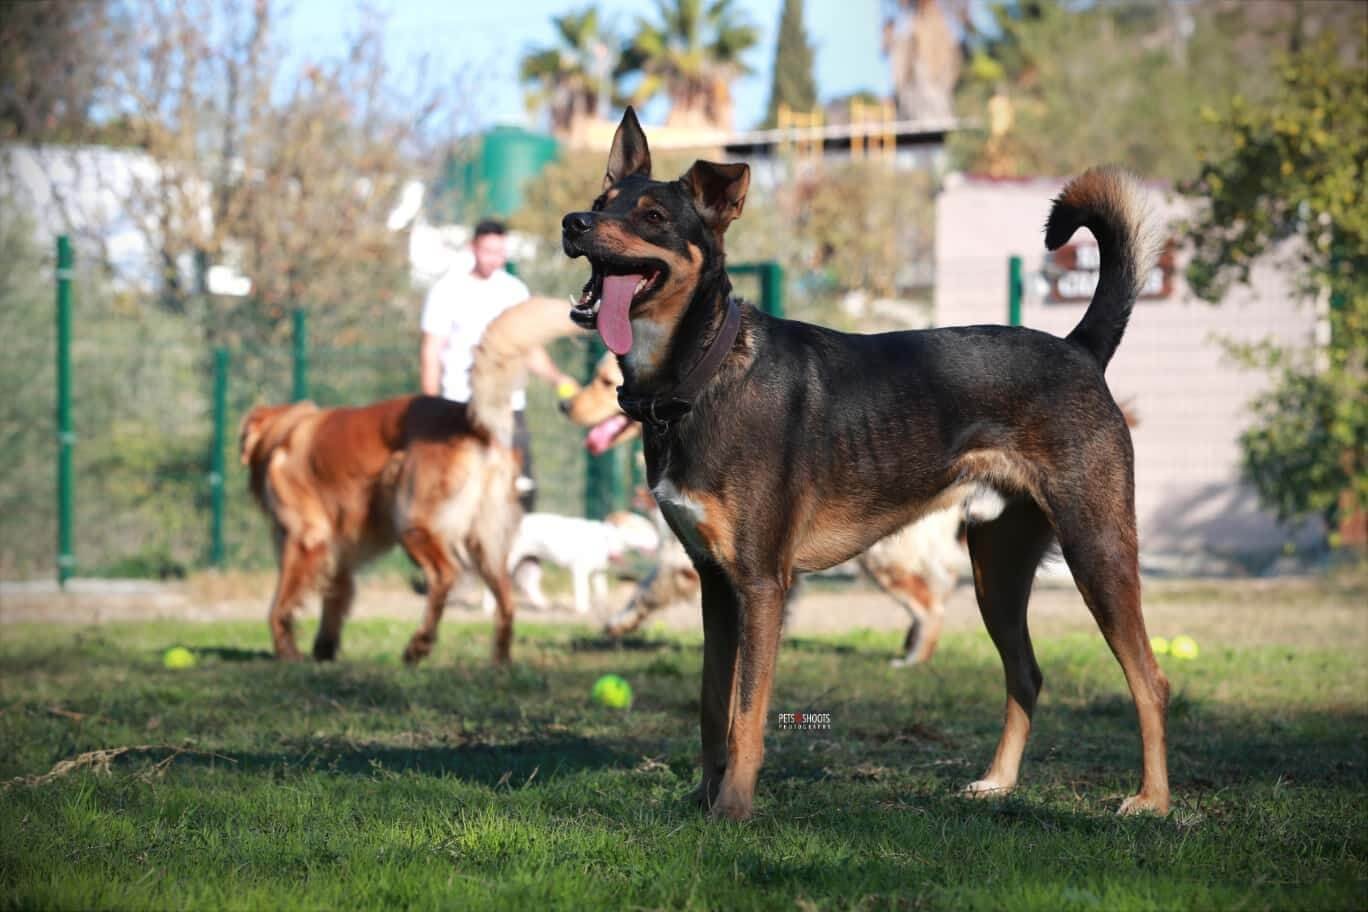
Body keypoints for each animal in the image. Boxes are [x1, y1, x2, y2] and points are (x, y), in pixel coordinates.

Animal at [240, 298, 577, 664]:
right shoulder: (341, 551)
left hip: (412, 522)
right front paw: (324, 651)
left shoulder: (304, 538)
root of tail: (469, 420)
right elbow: (335, 600)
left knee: (445, 576)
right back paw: (498, 661)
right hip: (486, 542)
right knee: (506, 601)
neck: (280, 435)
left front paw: (287, 652)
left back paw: (419, 645)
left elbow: (280, 606)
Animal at [560, 110, 1171, 825]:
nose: (573, 222)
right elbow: (713, 708)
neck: (700, 374)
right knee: (1026, 673)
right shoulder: (716, 583)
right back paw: (997, 783)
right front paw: (703, 799)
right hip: (996, 568)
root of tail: (1080, 349)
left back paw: (1152, 799)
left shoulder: (761, 585)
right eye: (602, 202)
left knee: (1150, 679)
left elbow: (746, 716)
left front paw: (733, 808)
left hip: (1096, 548)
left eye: (652, 216)